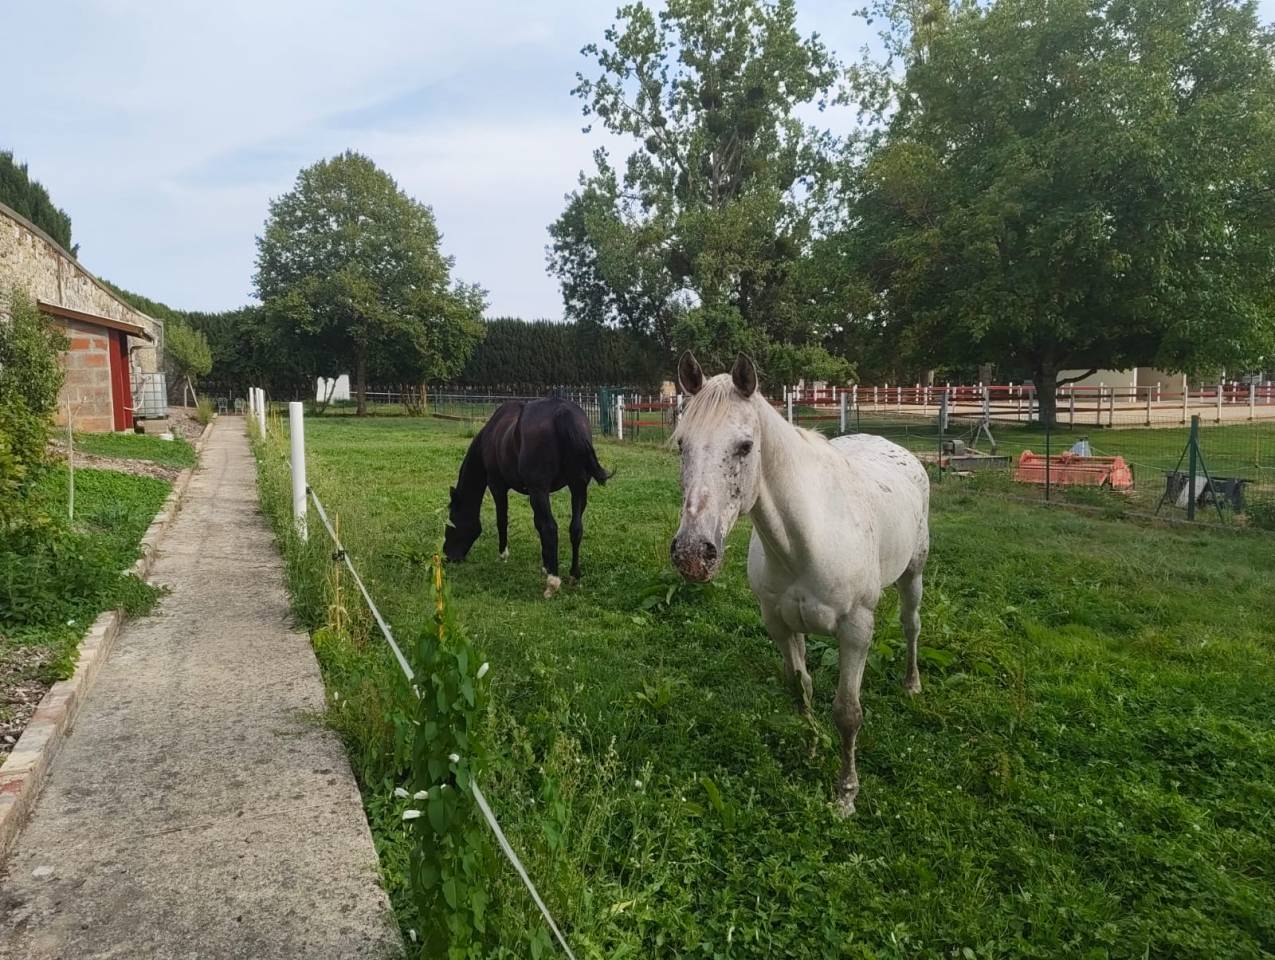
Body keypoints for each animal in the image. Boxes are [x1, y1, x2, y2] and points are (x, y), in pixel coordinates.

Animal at [443, 397, 611, 598]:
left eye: (451, 523)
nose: (447, 556)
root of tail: (563, 412)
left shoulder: (499, 486)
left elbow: (503, 520)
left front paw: (503, 554)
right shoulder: (534, 493)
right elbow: (538, 524)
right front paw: (546, 564)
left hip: (542, 490)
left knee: (551, 528)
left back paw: (553, 583)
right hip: (578, 487)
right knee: (576, 528)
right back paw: (574, 576)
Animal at [669, 353, 930, 816]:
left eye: (745, 446)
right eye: (681, 443)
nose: (692, 554)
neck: (807, 539)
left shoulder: (856, 631)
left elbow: (847, 712)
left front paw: (845, 794)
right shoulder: (779, 624)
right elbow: (800, 688)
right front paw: (812, 749)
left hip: (912, 575)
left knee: (911, 625)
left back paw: (911, 684)